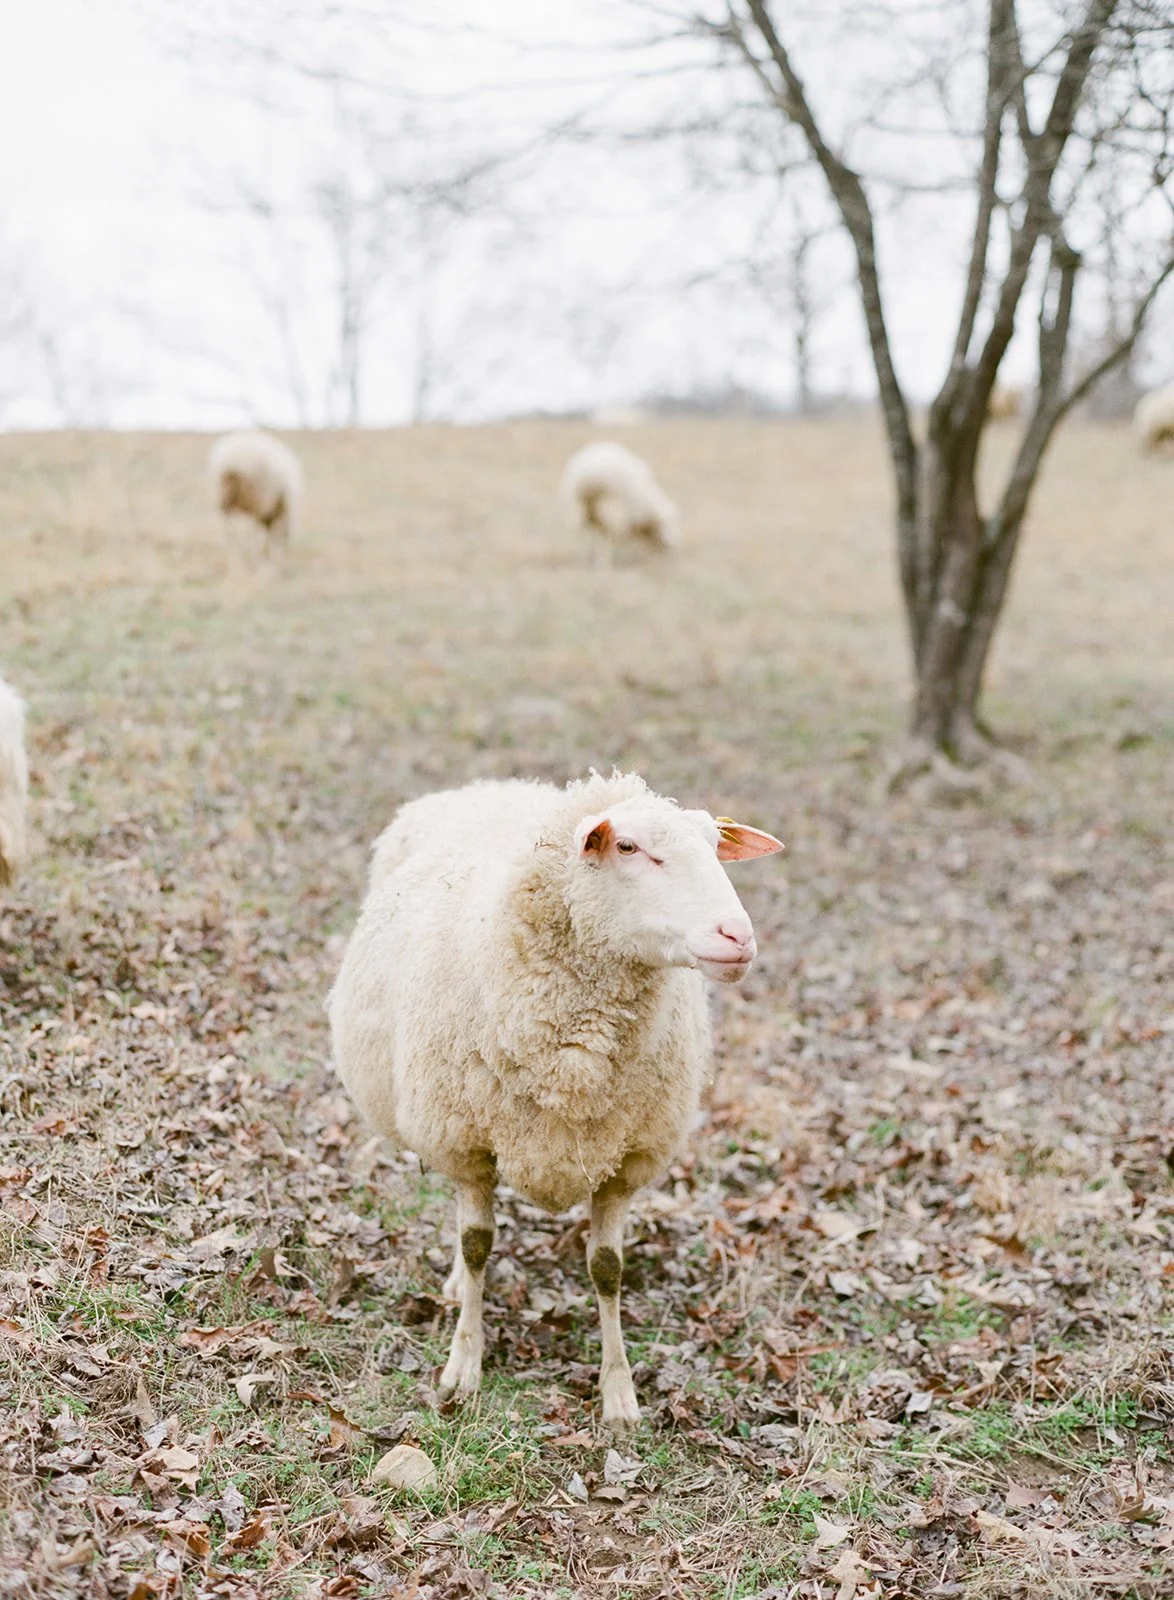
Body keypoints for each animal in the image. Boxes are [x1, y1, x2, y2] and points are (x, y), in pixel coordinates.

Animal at [329, 770, 782, 1427]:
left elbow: (607, 1270)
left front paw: (619, 1393)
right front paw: (462, 1366)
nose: (738, 937)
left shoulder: (627, 1160)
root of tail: (491, 785)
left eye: (714, 848)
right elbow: (477, 1246)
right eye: (628, 847)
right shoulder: (467, 1145)